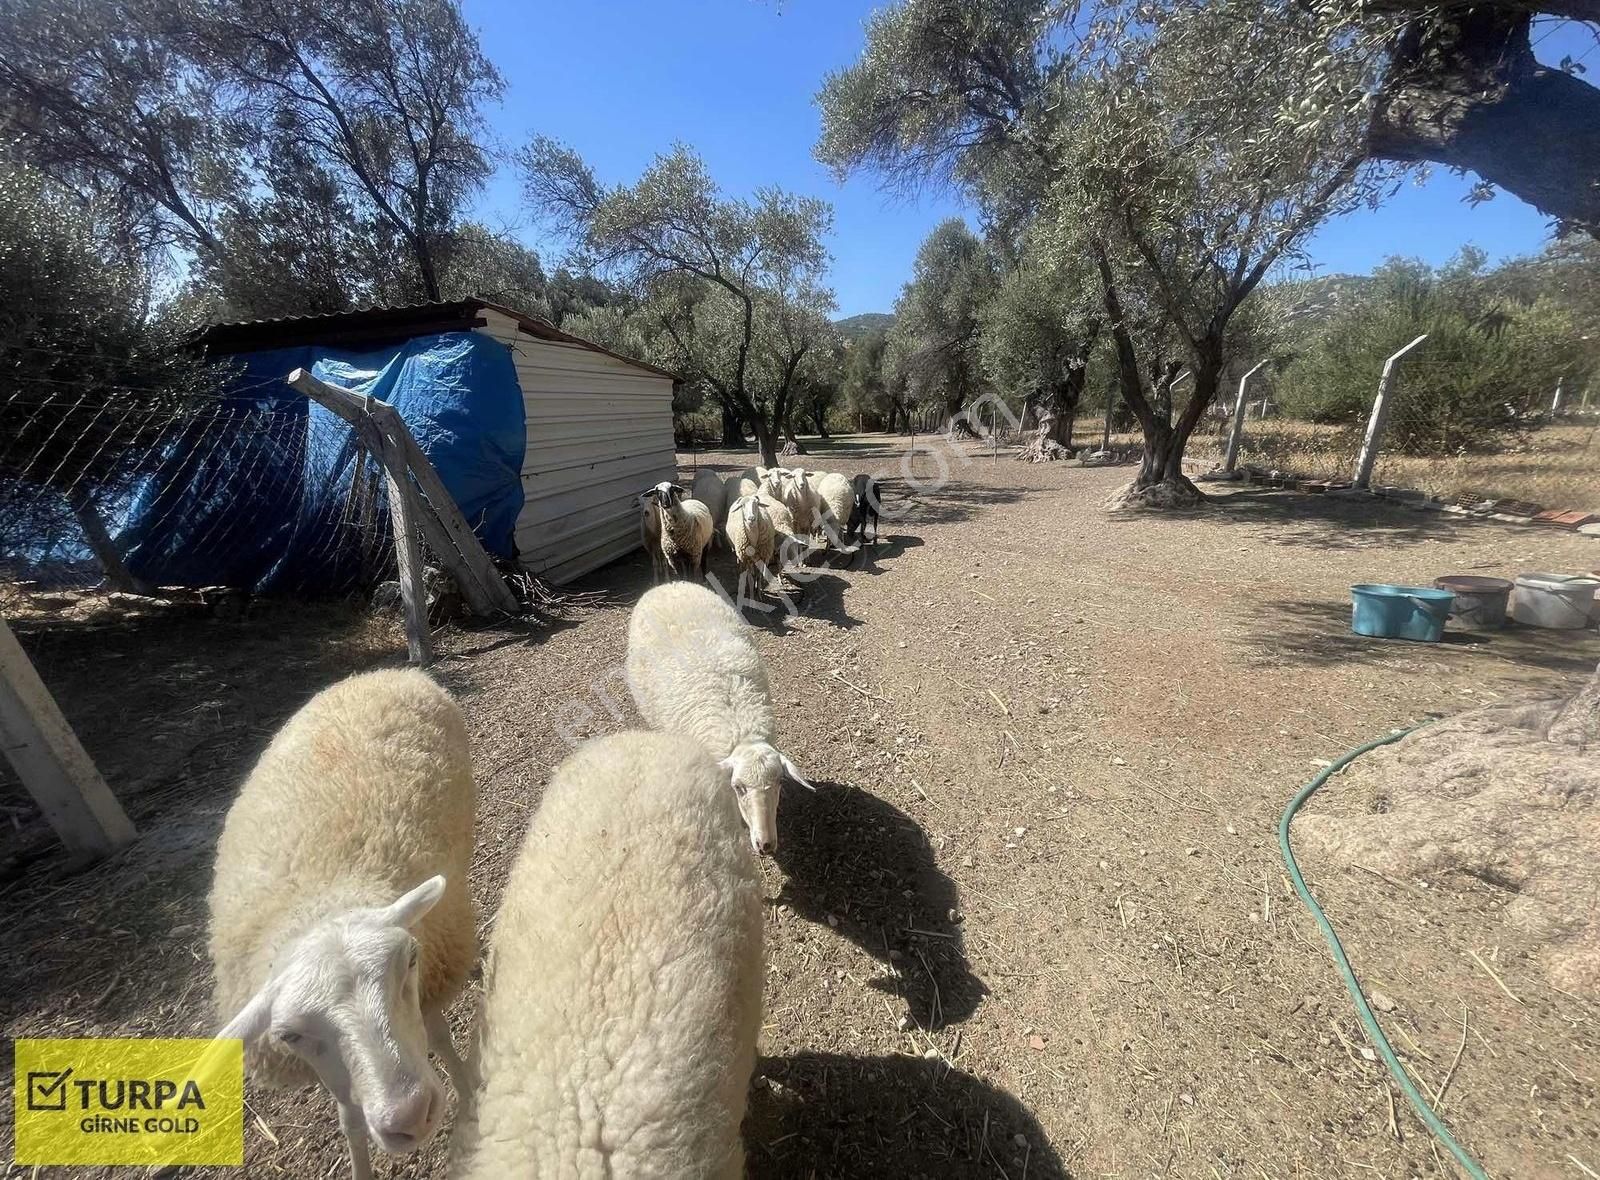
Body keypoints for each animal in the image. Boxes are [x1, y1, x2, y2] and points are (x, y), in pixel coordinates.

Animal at [204, 665, 473, 1176]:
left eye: (409, 962)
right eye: (289, 1035)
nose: (411, 1116)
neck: (319, 904)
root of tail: (378, 672)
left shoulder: (431, 975)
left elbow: (440, 1036)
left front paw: (470, 1098)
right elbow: (349, 1118)